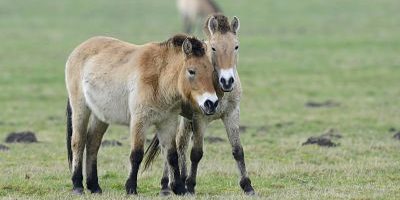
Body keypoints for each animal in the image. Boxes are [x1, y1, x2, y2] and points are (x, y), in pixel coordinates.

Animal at [65, 34, 219, 195]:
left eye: (211, 71)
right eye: (191, 71)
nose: (211, 103)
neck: (159, 78)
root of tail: (78, 49)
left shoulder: (168, 122)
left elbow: (172, 155)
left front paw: (179, 188)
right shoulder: (140, 121)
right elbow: (137, 154)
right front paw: (131, 188)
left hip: (100, 116)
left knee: (92, 144)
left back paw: (94, 186)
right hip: (80, 109)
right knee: (78, 142)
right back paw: (77, 185)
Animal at [144, 14, 256, 196]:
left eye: (236, 46)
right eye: (213, 48)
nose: (227, 81)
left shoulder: (231, 114)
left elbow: (238, 150)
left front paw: (247, 186)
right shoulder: (200, 119)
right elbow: (196, 153)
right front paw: (190, 186)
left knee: (180, 143)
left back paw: (178, 180)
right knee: (171, 145)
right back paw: (166, 185)